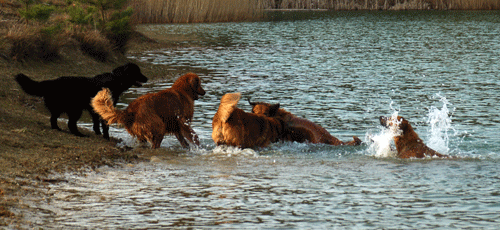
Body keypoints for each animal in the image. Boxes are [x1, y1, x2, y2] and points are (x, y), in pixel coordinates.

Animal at [14, 62, 147, 139]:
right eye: (137, 72)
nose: (147, 78)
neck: (116, 79)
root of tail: (50, 83)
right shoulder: (105, 109)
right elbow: (105, 125)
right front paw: (106, 137)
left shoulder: (94, 109)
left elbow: (96, 123)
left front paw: (98, 133)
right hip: (75, 110)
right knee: (70, 124)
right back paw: (79, 134)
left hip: (63, 109)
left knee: (53, 119)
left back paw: (58, 129)